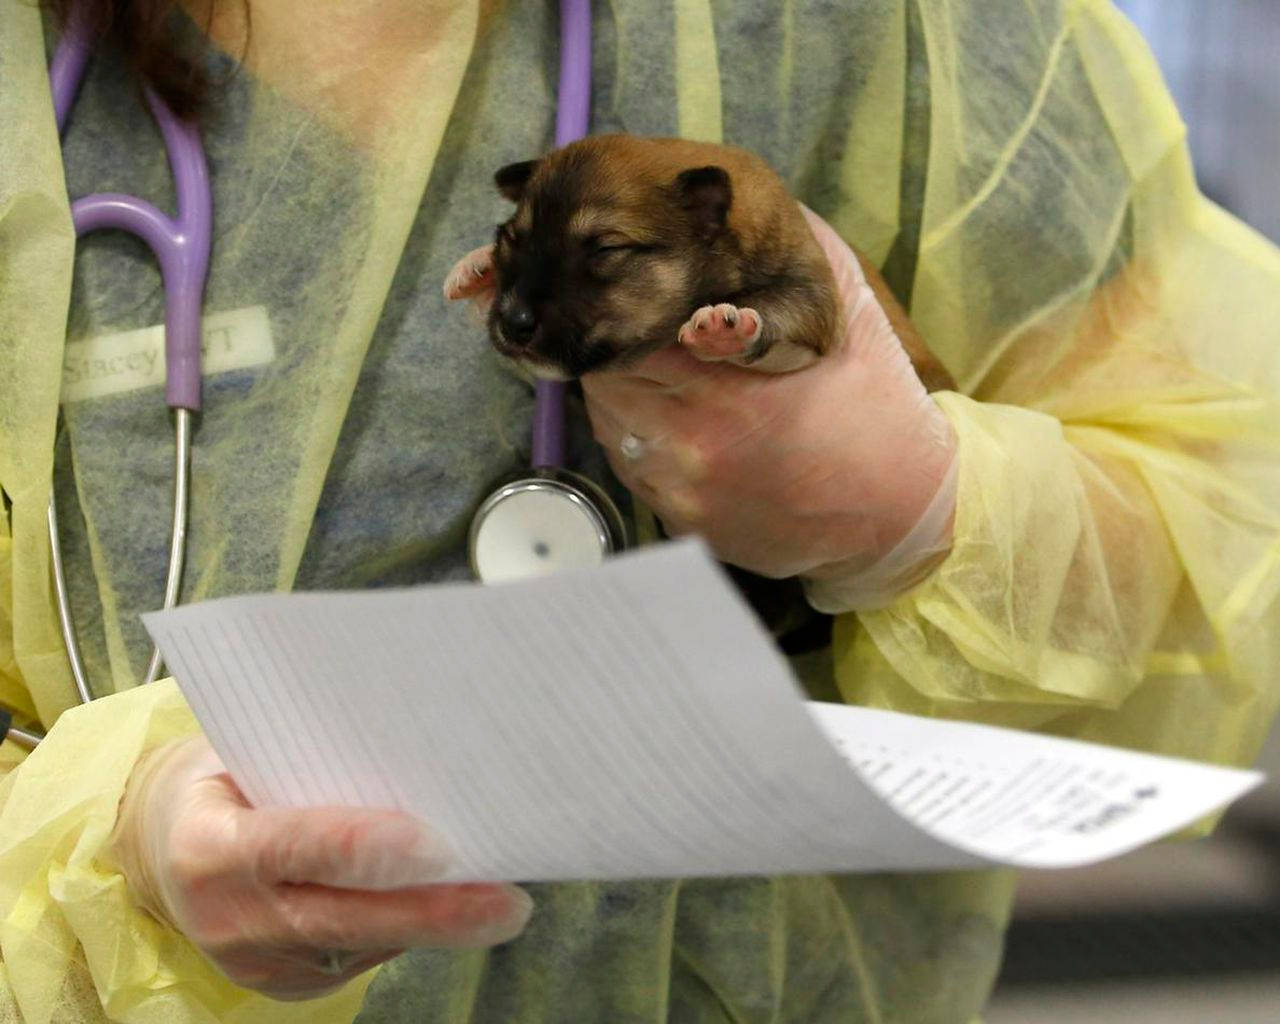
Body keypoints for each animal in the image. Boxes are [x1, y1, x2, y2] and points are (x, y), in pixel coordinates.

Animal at [445, 133, 957, 389]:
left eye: (605, 250)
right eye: (511, 238)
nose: (512, 323)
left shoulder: (816, 302)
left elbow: (778, 316)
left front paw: (723, 328)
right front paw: (476, 268)